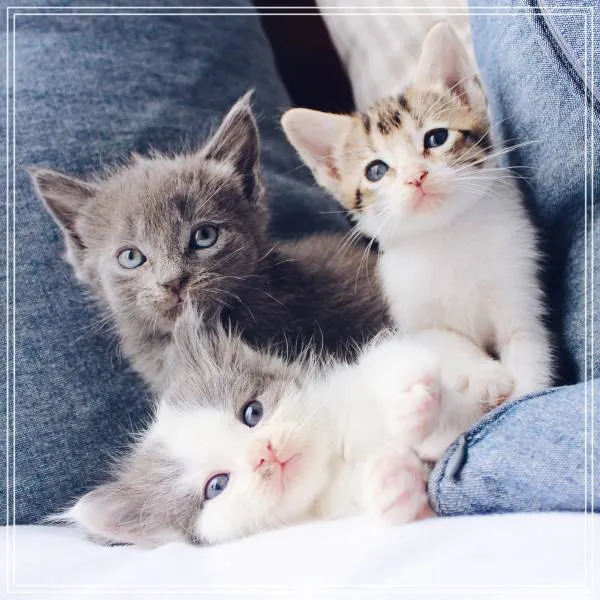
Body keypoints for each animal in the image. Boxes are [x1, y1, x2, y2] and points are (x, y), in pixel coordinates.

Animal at [60, 305, 512, 547]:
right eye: (216, 486)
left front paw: (412, 399)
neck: (336, 457)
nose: (264, 453)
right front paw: (392, 483)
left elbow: (393, 359)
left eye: (252, 413)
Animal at [281, 22, 552, 399]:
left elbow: (528, 348)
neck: (447, 235)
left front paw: (524, 389)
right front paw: (484, 373)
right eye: (376, 171)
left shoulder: (519, 290)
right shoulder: (410, 316)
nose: (415, 176)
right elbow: (443, 339)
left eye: (436, 138)